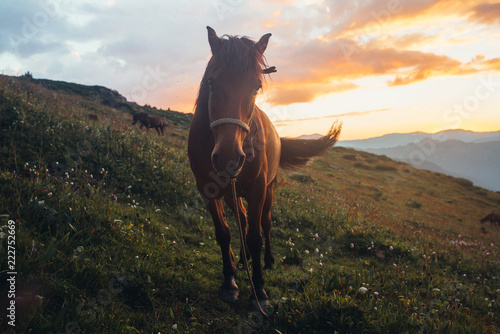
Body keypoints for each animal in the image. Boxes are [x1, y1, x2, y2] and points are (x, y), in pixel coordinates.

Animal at [187, 27, 340, 312]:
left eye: (256, 87)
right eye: (212, 82)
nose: (229, 158)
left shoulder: (258, 190)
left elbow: (256, 236)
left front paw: (258, 290)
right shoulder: (207, 191)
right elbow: (224, 233)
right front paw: (230, 281)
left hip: (267, 190)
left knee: (265, 224)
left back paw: (267, 260)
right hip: (233, 193)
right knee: (243, 219)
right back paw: (242, 259)